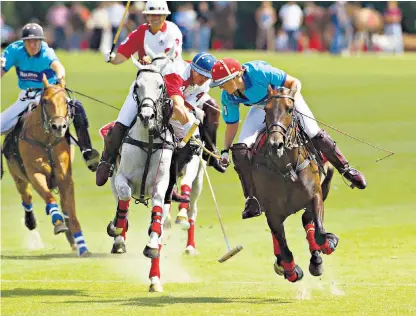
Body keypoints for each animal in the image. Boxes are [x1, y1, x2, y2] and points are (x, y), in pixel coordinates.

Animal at [2, 74, 90, 256]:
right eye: (46, 101)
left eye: (65, 101)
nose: (59, 126)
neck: (47, 141)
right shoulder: (35, 174)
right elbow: (50, 198)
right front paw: (58, 223)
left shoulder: (65, 178)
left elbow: (72, 213)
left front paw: (82, 246)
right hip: (18, 177)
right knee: (26, 198)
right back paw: (31, 221)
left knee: (64, 207)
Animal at [105, 56, 174, 292]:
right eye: (137, 86)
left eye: (160, 85)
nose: (146, 116)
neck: (149, 138)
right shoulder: (121, 178)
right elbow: (124, 198)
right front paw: (117, 230)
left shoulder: (161, 185)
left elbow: (156, 218)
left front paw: (151, 245)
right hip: (112, 182)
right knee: (120, 204)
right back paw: (118, 237)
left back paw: (155, 279)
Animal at [247, 86, 338, 282]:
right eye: (266, 110)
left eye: (289, 109)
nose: (276, 144)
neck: (286, 170)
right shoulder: (272, 212)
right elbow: (283, 245)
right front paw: (291, 270)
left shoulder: (316, 195)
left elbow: (320, 233)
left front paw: (329, 242)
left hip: (327, 181)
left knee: (307, 219)